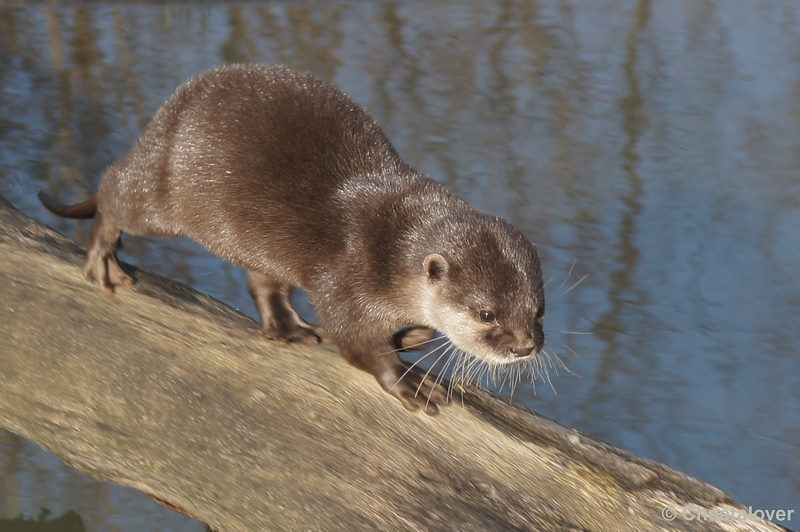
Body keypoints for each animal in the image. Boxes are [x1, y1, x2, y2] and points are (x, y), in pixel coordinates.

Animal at [37, 63, 544, 416]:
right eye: (486, 313)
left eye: (538, 311)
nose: (525, 346)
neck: (393, 250)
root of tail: (169, 116)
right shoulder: (350, 279)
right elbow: (356, 342)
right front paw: (408, 382)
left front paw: (415, 335)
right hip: (165, 197)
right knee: (114, 192)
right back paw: (103, 258)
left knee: (263, 280)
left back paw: (286, 326)